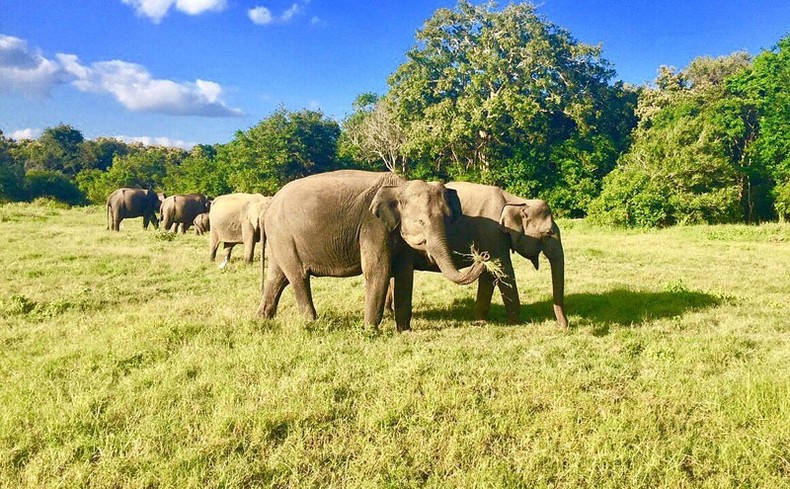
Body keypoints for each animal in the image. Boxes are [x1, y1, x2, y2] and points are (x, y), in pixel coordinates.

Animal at [256, 169, 488, 332]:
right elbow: (378, 271)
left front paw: (405, 331)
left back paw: (262, 319)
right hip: (284, 236)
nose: (483, 256)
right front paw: (371, 331)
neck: (400, 187)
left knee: (277, 277)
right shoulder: (373, 225)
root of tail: (269, 204)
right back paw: (312, 323)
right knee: (298, 276)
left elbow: (405, 274)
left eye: (448, 220)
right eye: (421, 221)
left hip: (281, 240)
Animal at [386, 182, 568, 328]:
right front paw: (518, 322)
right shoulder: (492, 233)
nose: (563, 326)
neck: (516, 200)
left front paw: (481, 321)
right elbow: (504, 270)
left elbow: (489, 274)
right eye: (548, 233)